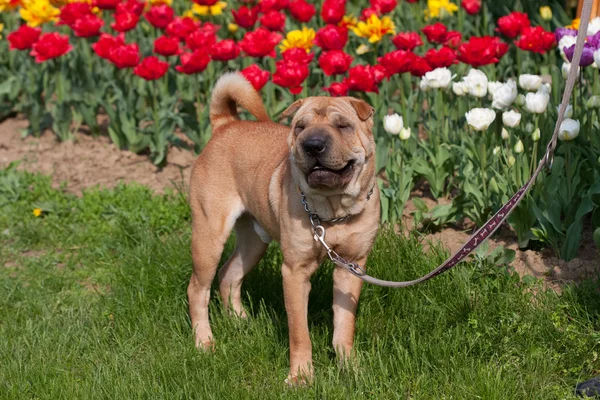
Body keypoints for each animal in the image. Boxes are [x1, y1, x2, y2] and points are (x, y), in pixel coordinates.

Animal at [188, 72, 380, 384]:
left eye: (343, 125)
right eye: (300, 127)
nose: (313, 144)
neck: (333, 211)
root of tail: (225, 124)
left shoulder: (352, 266)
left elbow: (344, 324)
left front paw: (350, 367)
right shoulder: (294, 272)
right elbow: (299, 333)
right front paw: (301, 377)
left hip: (254, 241)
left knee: (229, 275)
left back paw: (242, 322)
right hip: (208, 236)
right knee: (198, 289)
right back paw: (204, 342)